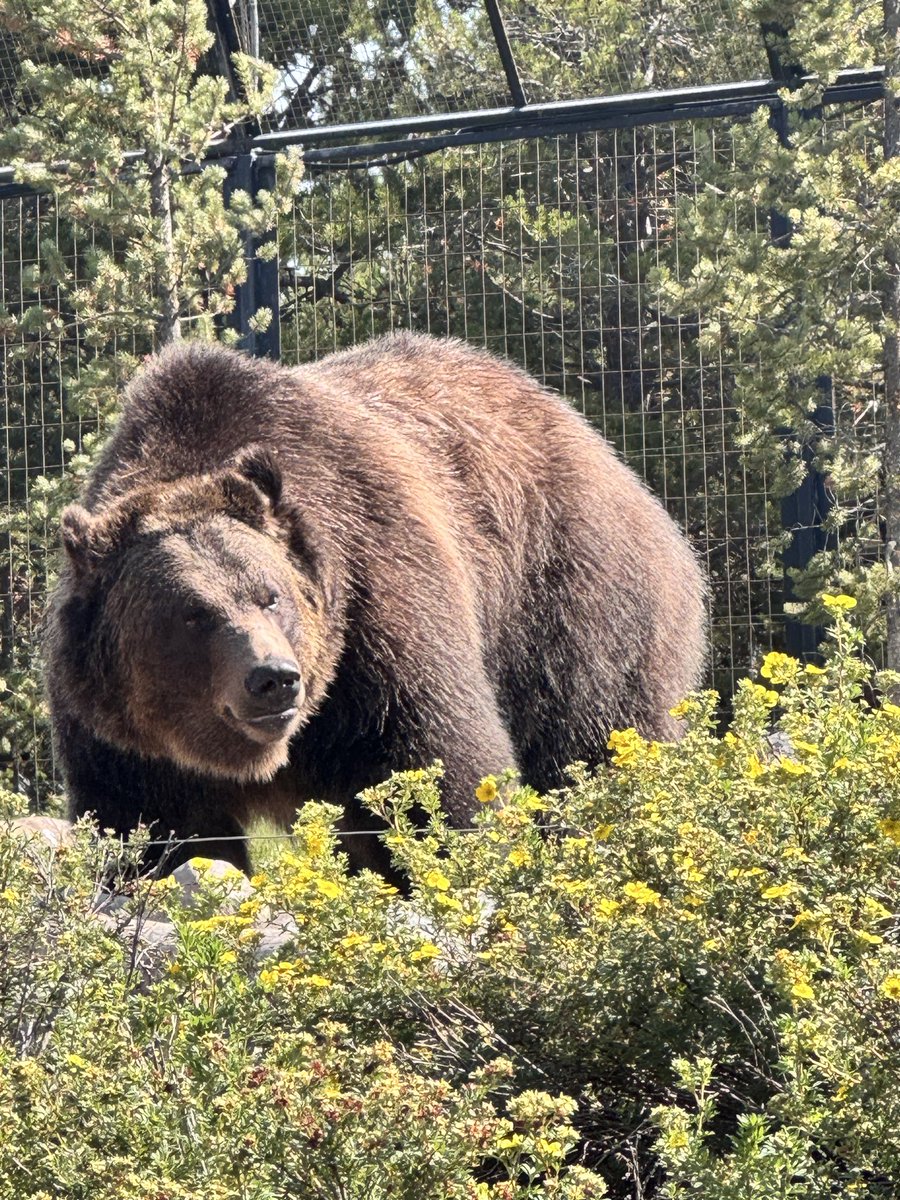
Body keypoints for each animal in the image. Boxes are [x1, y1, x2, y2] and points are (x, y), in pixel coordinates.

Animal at [44, 332, 707, 876]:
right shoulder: (128, 742)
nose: (273, 679)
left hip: (568, 598)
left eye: (270, 596)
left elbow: (435, 775)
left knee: (592, 737)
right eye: (192, 614)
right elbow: (155, 834)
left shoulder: (377, 616)